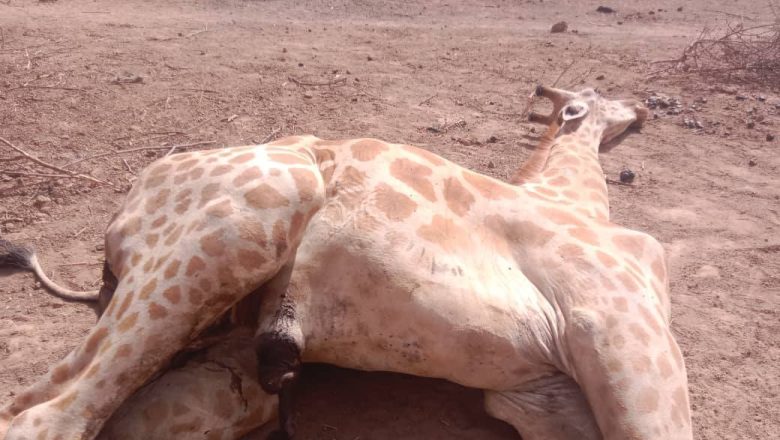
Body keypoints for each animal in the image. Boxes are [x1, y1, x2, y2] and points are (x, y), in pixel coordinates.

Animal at [0, 86, 692, 440]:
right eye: (604, 94)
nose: (647, 107)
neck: (574, 199)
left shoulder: (540, 394)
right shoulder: (617, 321)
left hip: (228, 370)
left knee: (45, 408)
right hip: (262, 207)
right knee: (48, 418)